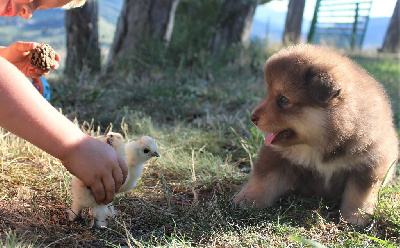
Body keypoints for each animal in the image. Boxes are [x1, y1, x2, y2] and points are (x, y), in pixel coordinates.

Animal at [234, 43, 396, 226]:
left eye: (283, 99)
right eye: (267, 93)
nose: (252, 117)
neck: (319, 145)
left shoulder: (369, 163)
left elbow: (360, 194)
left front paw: (356, 216)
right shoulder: (277, 156)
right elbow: (263, 179)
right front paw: (248, 199)